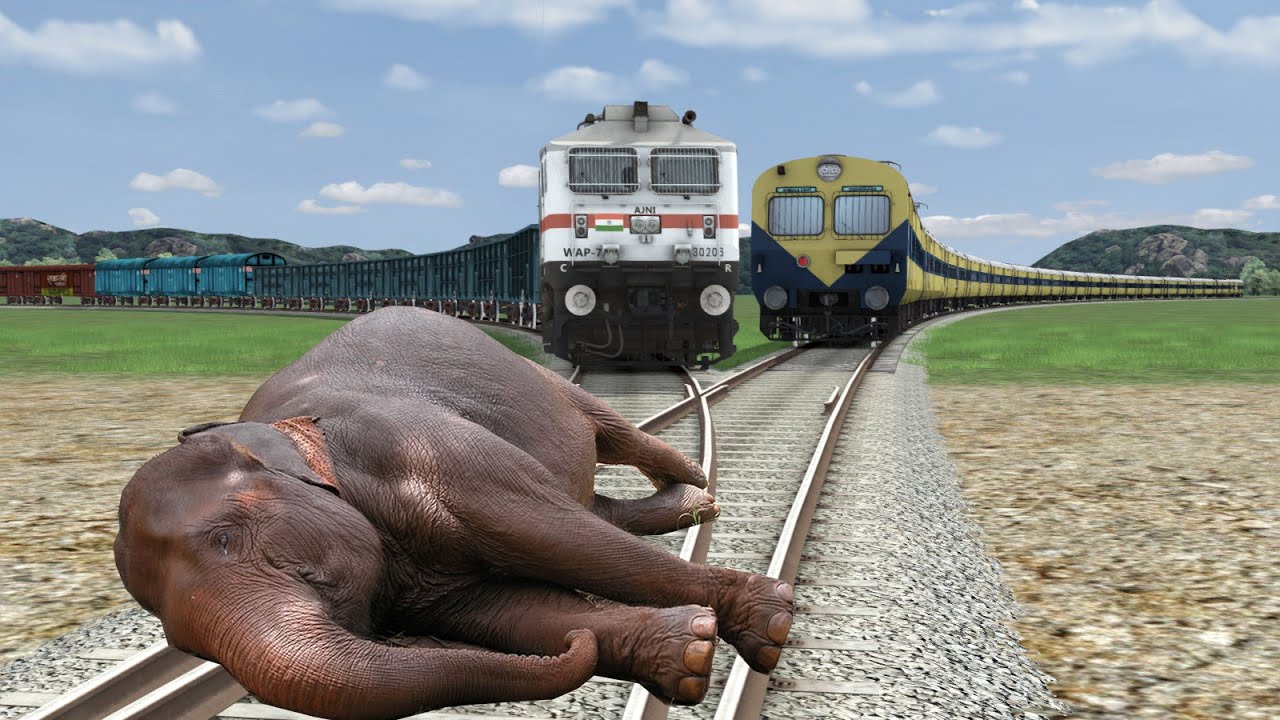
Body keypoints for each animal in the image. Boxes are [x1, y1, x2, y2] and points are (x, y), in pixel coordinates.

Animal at [114, 307, 793, 720]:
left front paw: (769, 625)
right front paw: (689, 654)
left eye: (226, 538)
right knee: (594, 503)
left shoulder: (423, 447)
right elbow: (512, 610)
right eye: (177, 642)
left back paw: (699, 492)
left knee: (612, 442)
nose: (578, 646)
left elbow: (557, 535)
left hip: (542, 380)